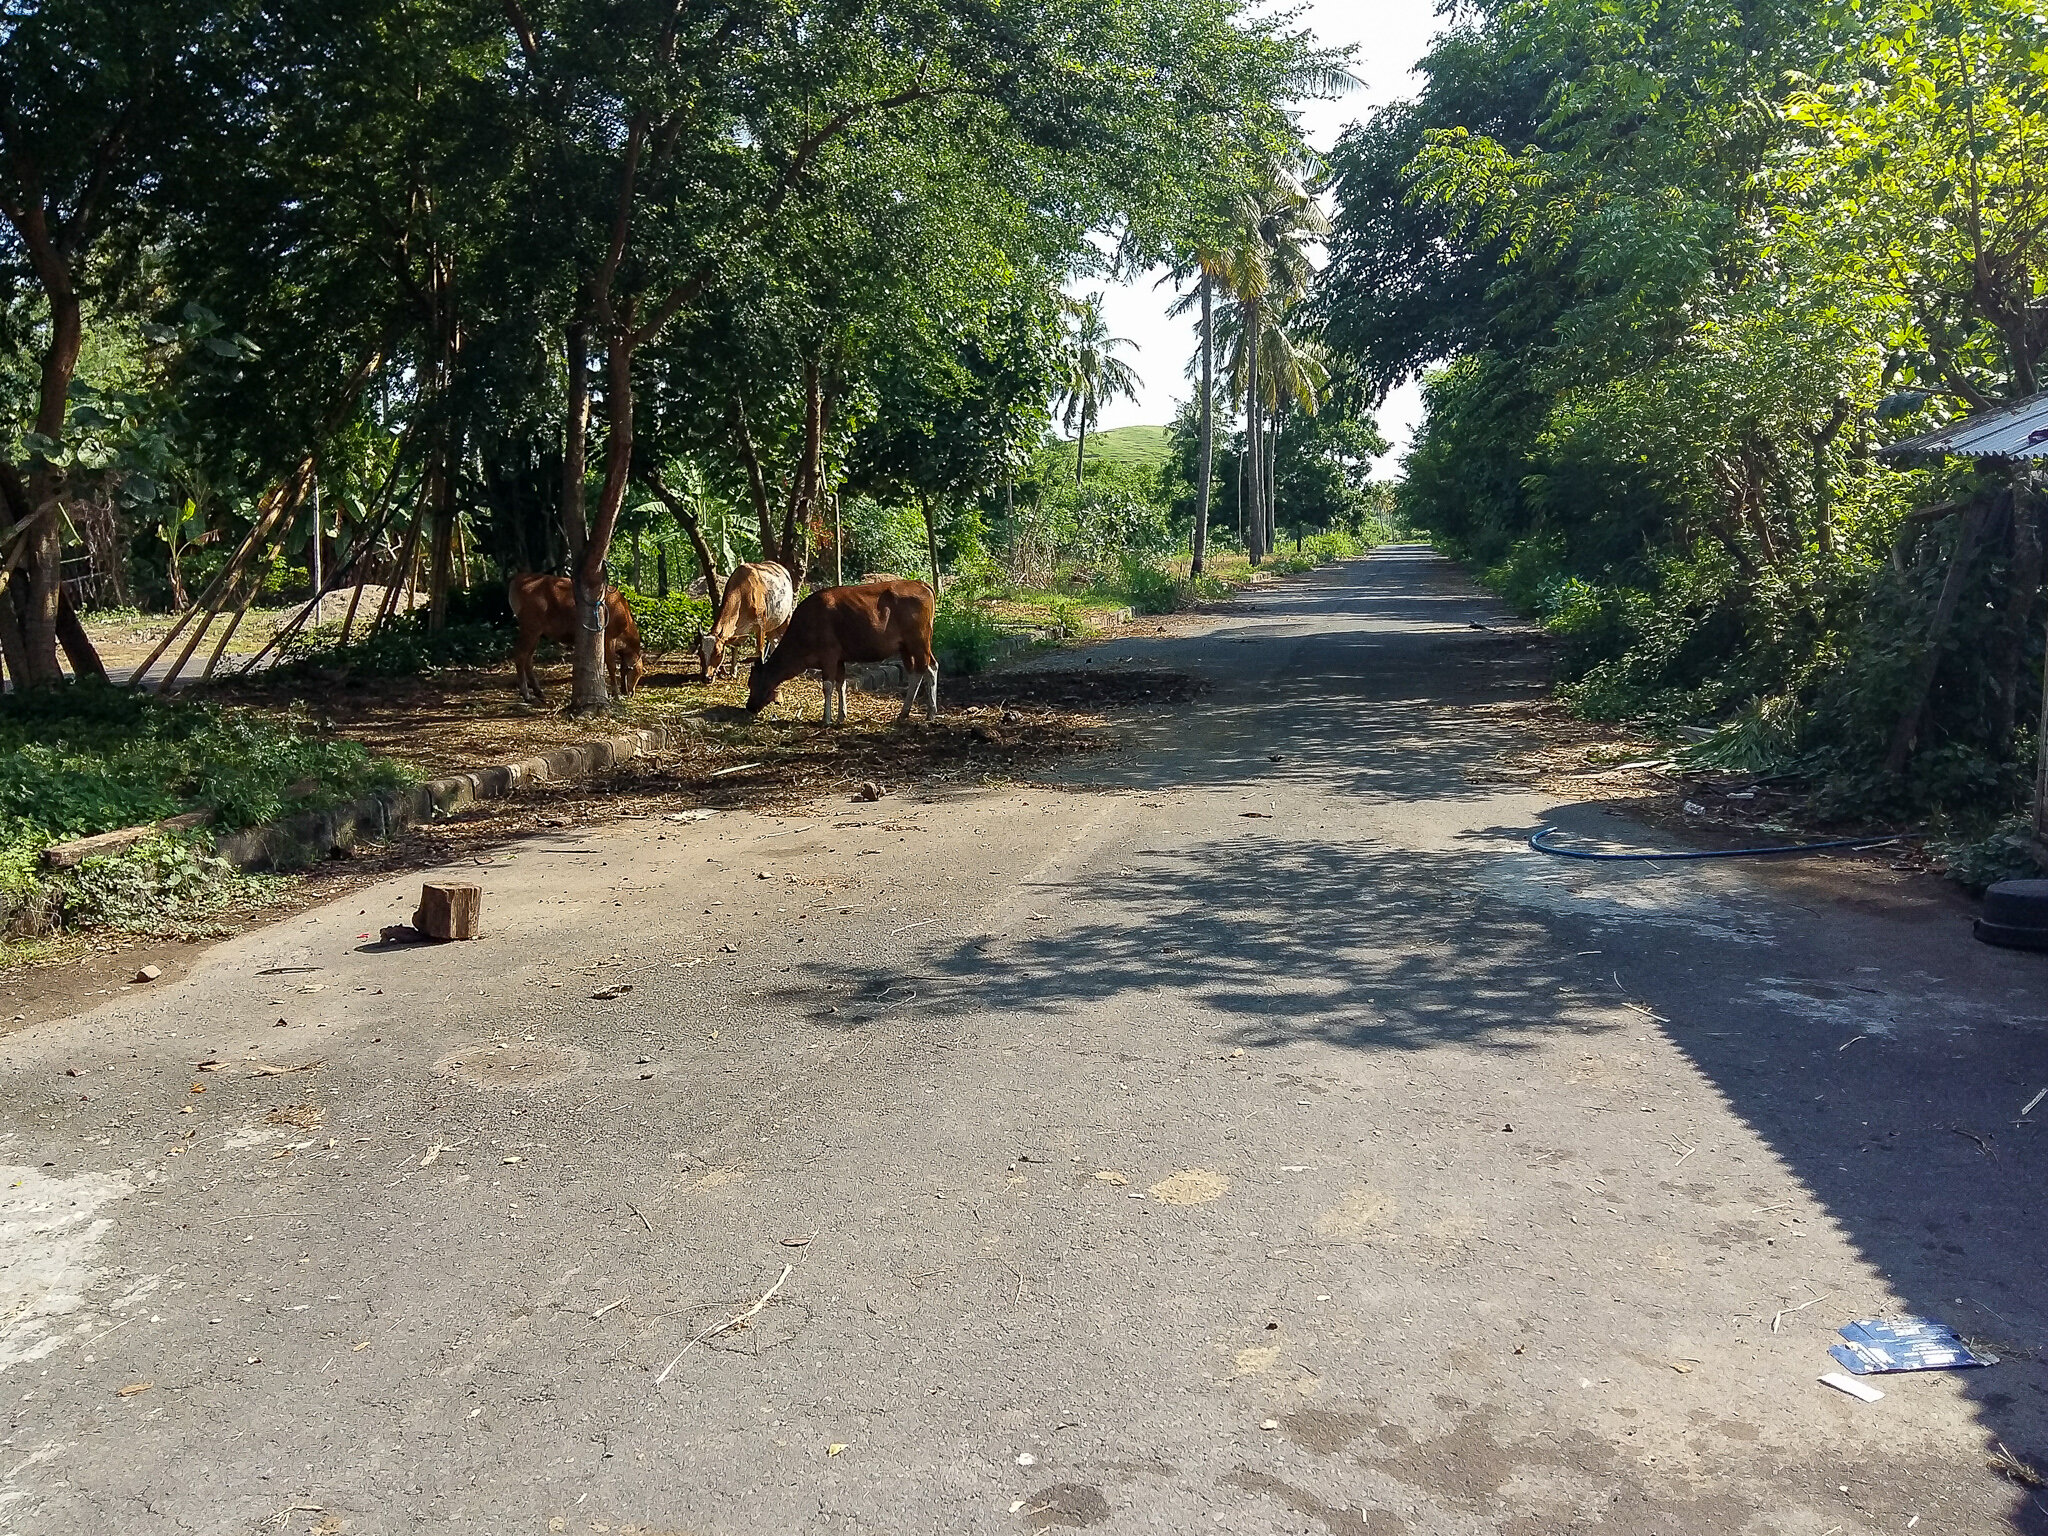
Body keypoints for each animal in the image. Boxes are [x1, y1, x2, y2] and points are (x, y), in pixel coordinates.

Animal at [507, 573, 643, 708]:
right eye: (639, 672)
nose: (631, 692)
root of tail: (514, 582)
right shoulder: (609, 637)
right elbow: (611, 665)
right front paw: (616, 694)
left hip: (536, 631)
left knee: (528, 658)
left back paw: (539, 692)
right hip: (530, 625)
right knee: (520, 655)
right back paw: (526, 694)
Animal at [745, 577, 937, 729]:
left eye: (753, 683)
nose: (749, 706)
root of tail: (921, 584)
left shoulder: (828, 656)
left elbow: (827, 686)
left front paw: (826, 718)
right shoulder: (839, 659)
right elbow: (841, 685)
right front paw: (841, 716)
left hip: (918, 642)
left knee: (925, 670)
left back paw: (918, 712)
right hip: (907, 647)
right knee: (923, 670)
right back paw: (917, 712)